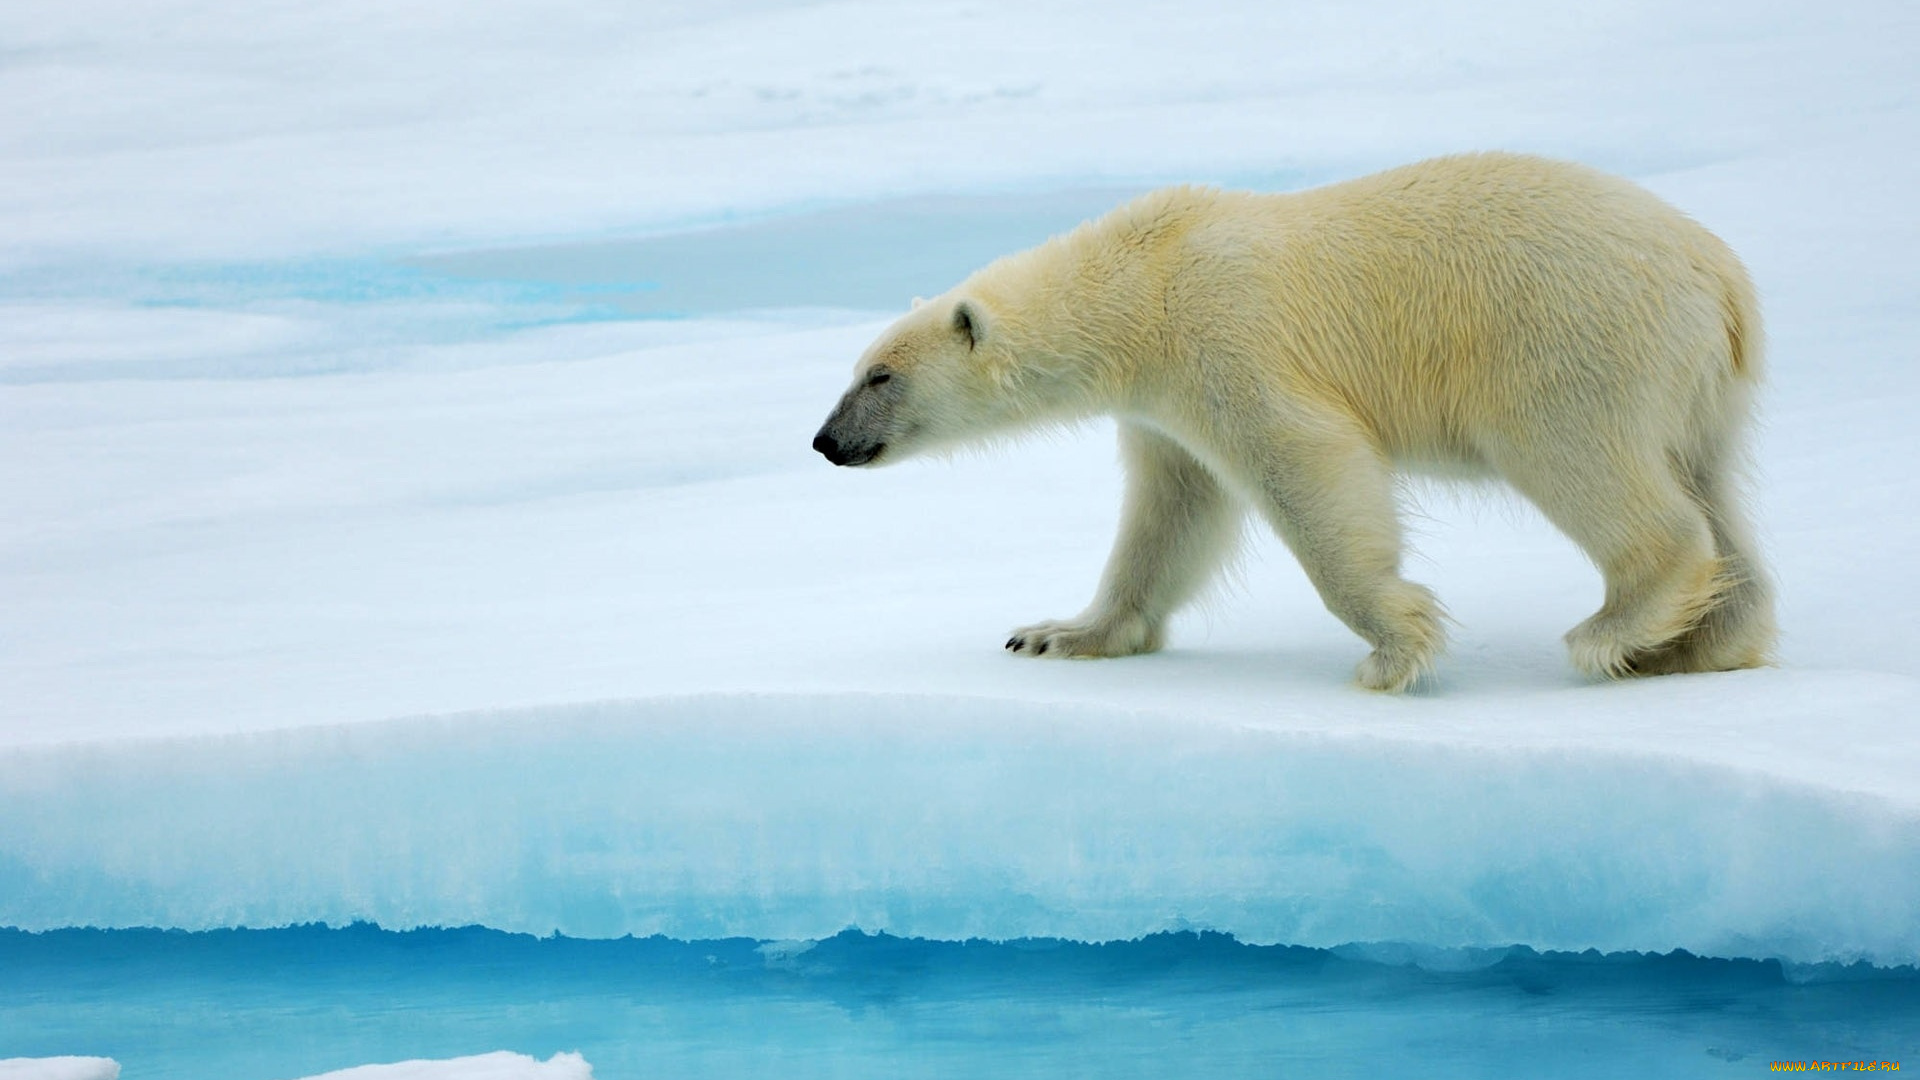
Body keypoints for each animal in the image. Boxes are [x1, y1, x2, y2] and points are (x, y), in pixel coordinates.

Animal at [810, 151, 1766, 687]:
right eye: (855, 370)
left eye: (880, 374)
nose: (825, 442)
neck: (1142, 282)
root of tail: (1719, 276)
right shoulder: (1161, 406)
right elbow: (1171, 513)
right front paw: (1057, 634)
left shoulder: (1225, 339)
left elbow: (1304, 466)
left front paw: (1394, 647)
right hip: (1696, 385)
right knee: (1712, 487)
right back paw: (1701, 643)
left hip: (1568, 341)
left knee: (1589, 466)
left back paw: (1616, 630)